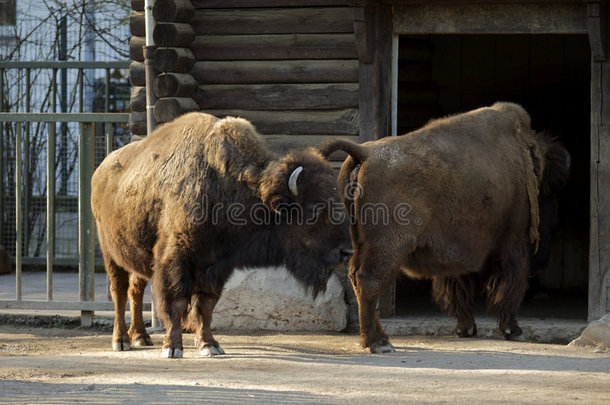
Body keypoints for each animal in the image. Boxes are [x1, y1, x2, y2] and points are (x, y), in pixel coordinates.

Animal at [89, 110, 346, 356]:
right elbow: (177, 302)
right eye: (314, 209)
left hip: (137, 255)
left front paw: (209, 345)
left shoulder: (217, 265)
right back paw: (121, 341)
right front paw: (173, 348)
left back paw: (141, 337)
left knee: (136, 290)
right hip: (110, 254)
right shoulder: (175, 259)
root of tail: (100, 170)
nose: (346, 252)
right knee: (119, 293)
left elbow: (206, 305)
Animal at [320, 102, 568, 352]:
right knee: (369, 280)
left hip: (360, 242)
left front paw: (465, 330)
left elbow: (459, 286)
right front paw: (513, 331)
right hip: (387, 246)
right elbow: (508, 286)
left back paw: (376, 340)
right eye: (548, 191)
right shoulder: (512, 243)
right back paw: (378, 343)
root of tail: (365, 152)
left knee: (356, 278)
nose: (545, 259)